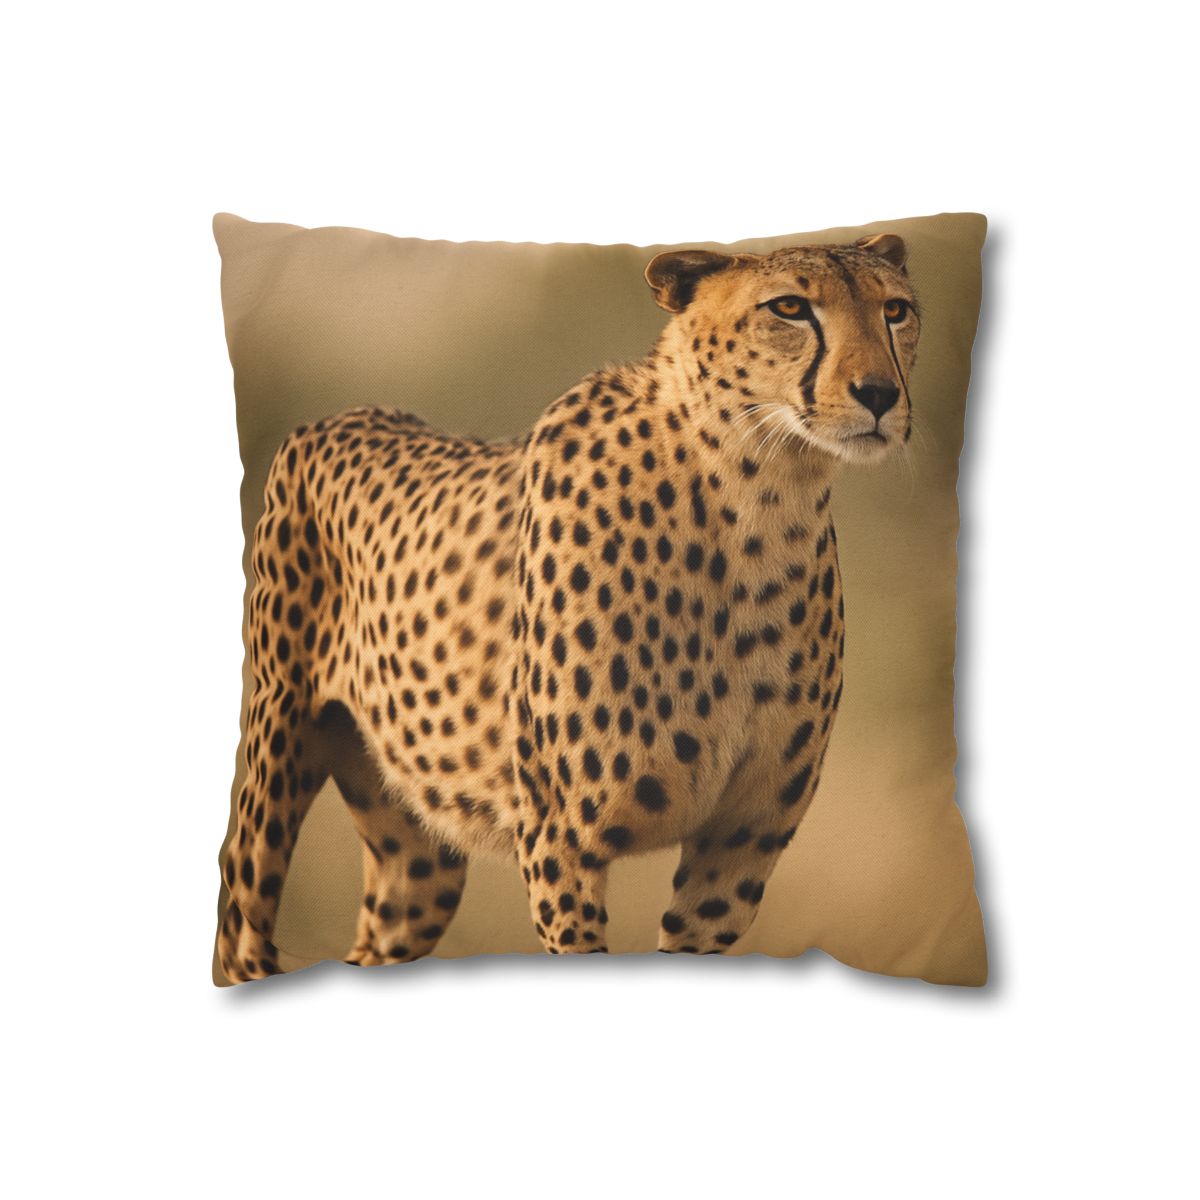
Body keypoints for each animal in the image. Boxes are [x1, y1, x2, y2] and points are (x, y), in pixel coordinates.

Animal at [217, 232, 919, 981]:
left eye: (895, 310)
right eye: (789, 308)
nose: (879, 394)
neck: (758, 499)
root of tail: (344, 414)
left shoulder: (740, 845)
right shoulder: (562, 839)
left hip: (419, 859)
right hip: (276, 755)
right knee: (241, 929)